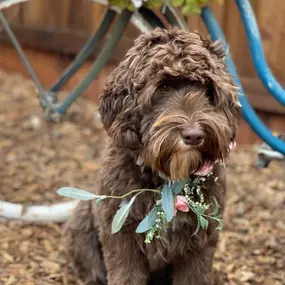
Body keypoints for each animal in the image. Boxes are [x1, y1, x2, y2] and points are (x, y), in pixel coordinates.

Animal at [63, 27, 239, 284]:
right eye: (162, 87)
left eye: (208, 89)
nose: (194, 135)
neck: (166, 181)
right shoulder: (120, 233)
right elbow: (125, 275)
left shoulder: (201, 240)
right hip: (82, 221)